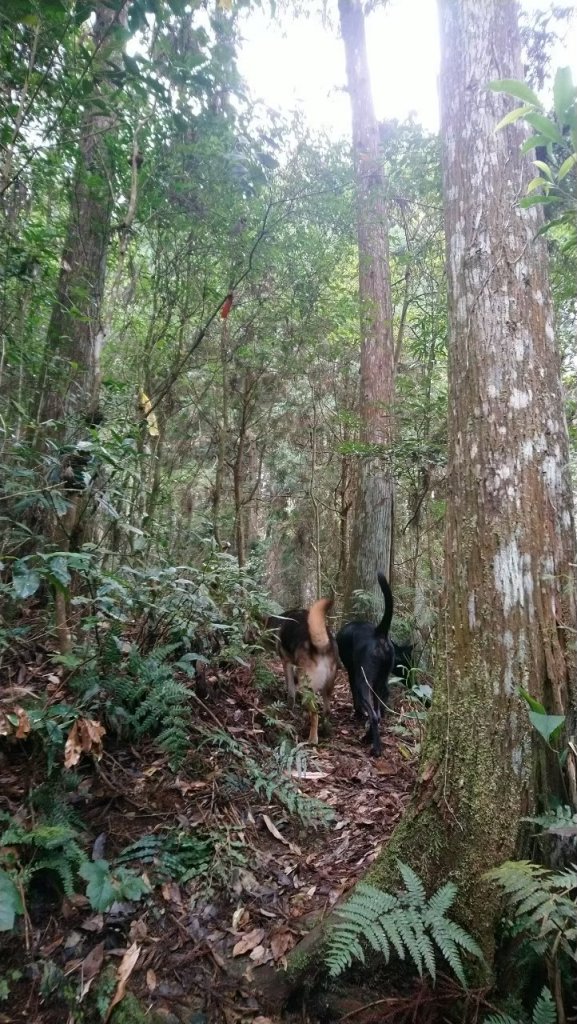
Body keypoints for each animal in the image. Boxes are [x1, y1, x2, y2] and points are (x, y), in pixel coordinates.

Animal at [268, 598, 340, 745]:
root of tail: (322, 647)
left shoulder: (286, 663)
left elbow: (291, 691)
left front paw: (289, 707)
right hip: (328, 686)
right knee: (327, 710)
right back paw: (325, 729)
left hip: (306, 688)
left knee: (315, 713)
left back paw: (312, 738)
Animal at [336, 573, 395, 757]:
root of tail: (379, 633)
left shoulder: (351, 672)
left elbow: (354, 694)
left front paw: (357, 713)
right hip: (380, 682)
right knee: (379, 712)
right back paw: (368, 737)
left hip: (364, 680)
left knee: (374, 714)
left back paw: (375, 747)